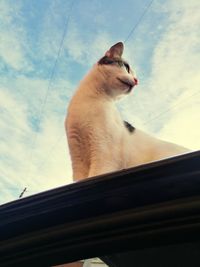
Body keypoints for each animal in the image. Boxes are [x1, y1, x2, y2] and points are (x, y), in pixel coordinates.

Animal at [65, 42, 189, 182]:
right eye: (127, 67)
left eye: (135, 76)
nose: (136, 81)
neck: (90, 101)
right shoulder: (78, 159)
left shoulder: (104, 156)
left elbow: (95, 174)